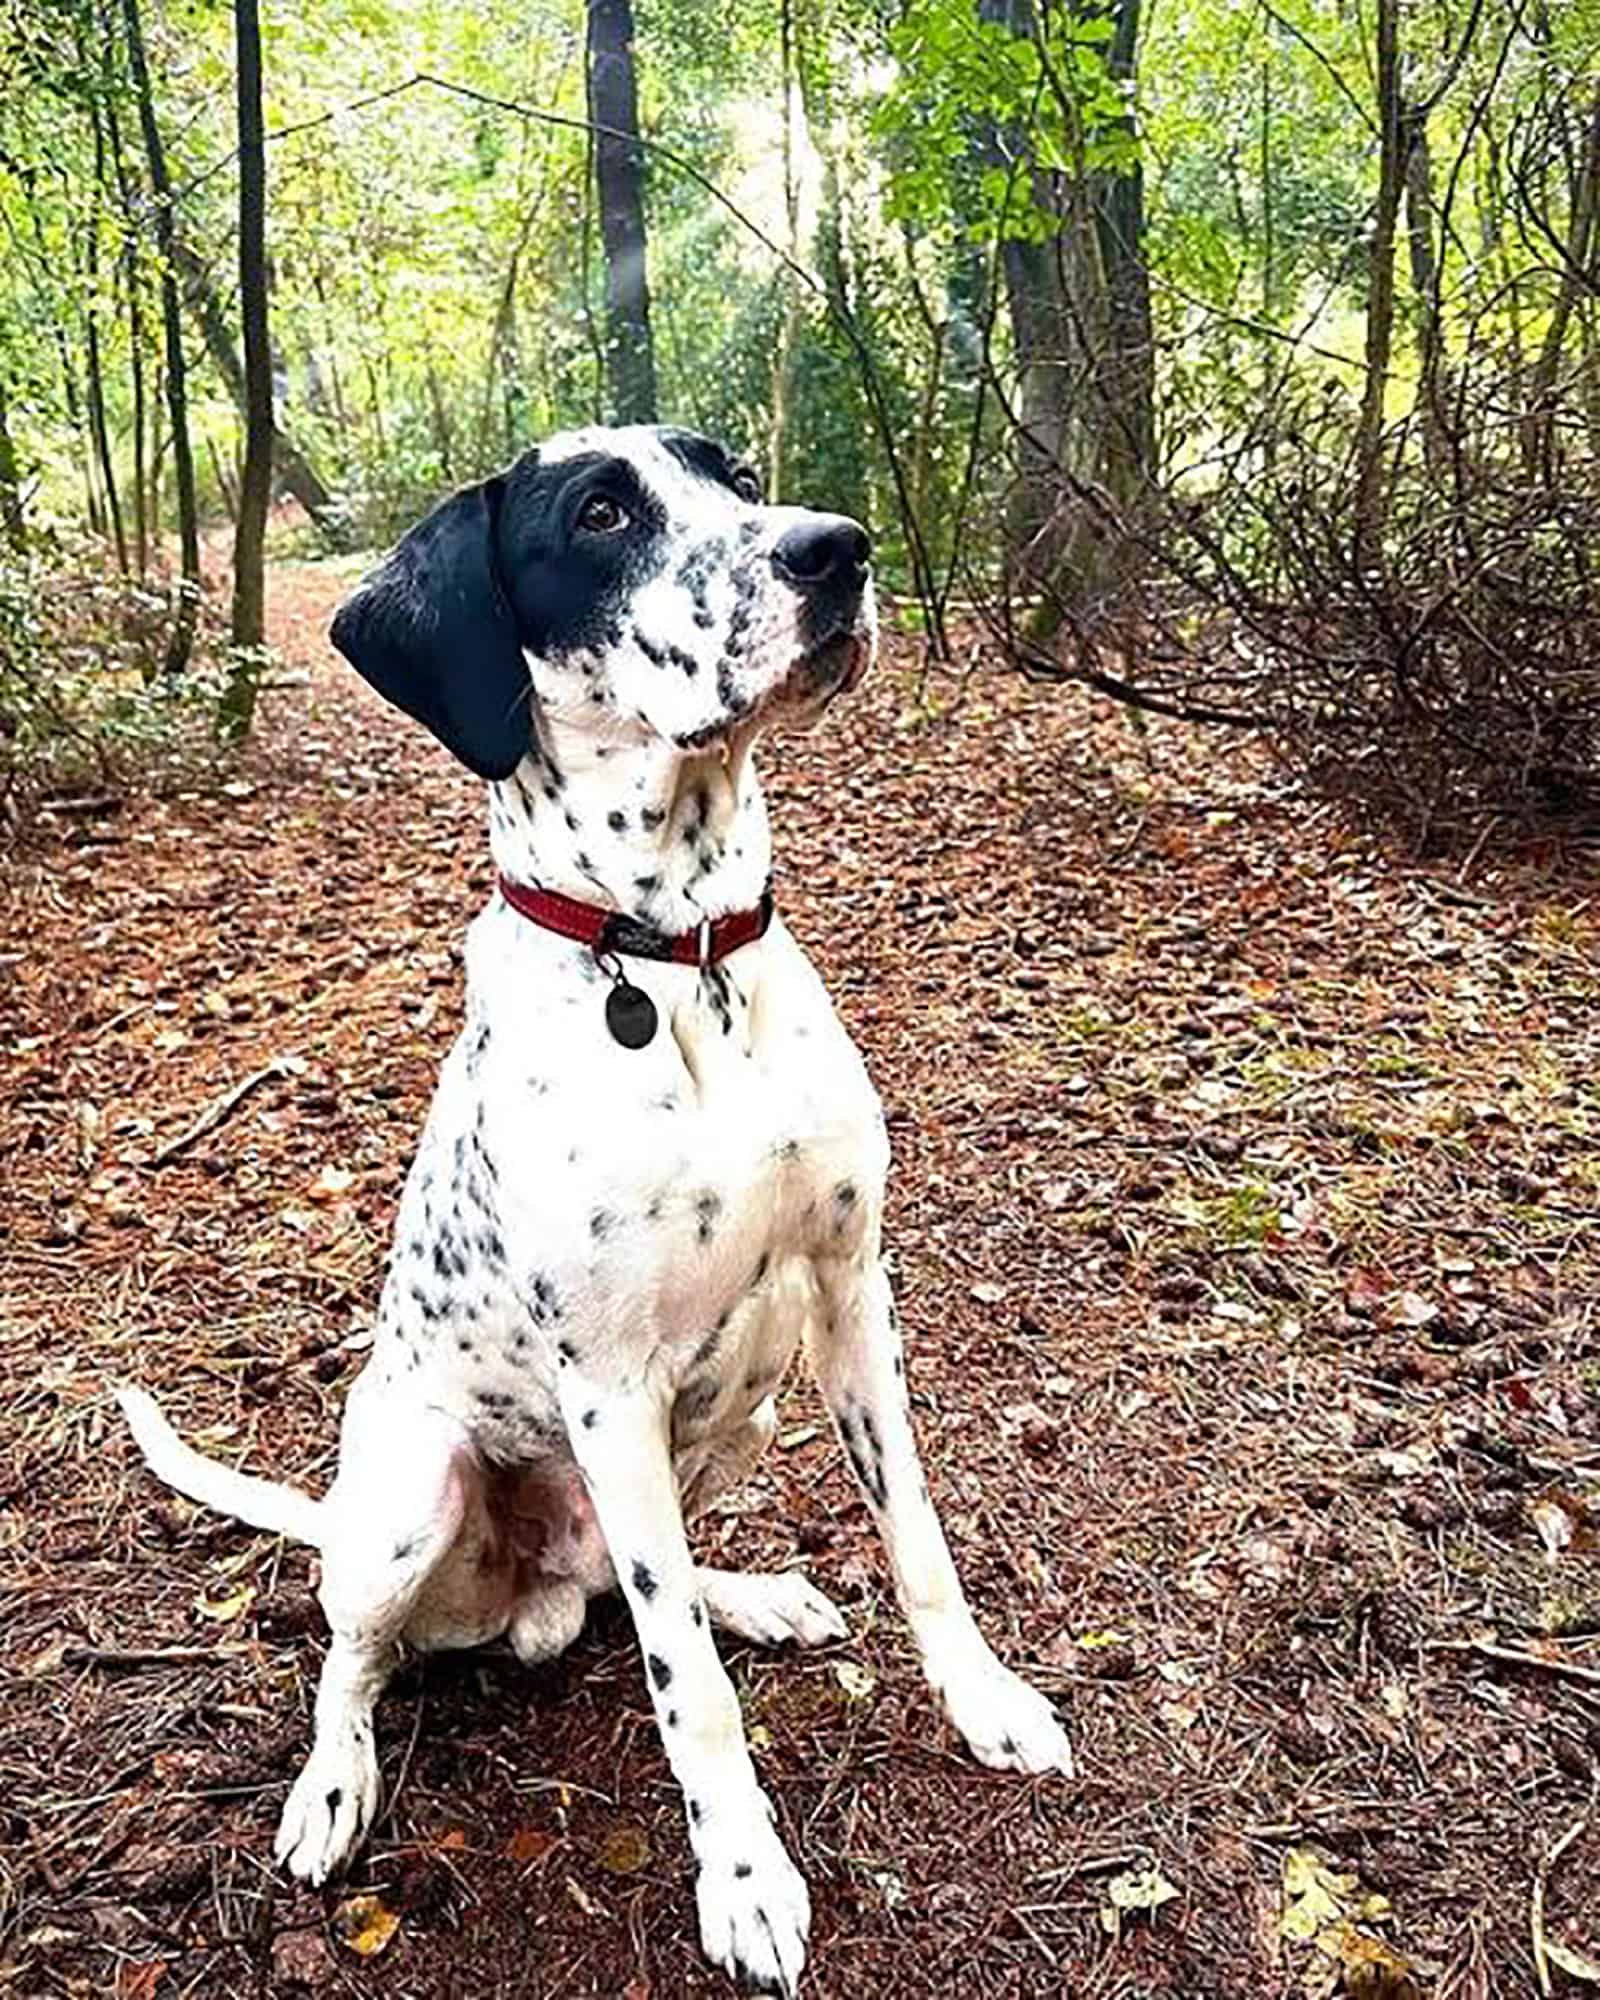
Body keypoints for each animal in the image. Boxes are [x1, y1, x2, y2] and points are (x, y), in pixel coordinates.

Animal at [115, 426, 1072, 2000]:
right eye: (602, 514)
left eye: (733, 475)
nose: (836, 548)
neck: (679, 959)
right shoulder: (608, 1387)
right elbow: (693, 1698)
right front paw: (743, 1879)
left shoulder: (850, 1290)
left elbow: (917, 1535)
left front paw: (983, 1698)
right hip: (415, 1492)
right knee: (366, 1652)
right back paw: (332, 1782)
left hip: (743, 1404)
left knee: (641, 1582)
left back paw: (752, 1593)